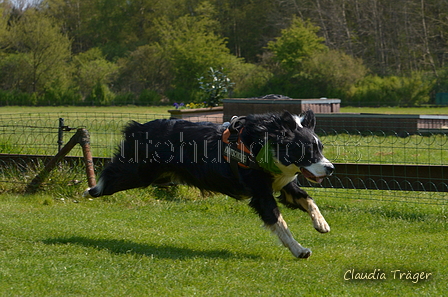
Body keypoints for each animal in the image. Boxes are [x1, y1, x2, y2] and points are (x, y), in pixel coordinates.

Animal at [84, 110, 334, 258]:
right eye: (307, 150)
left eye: (321, 148)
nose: (331, 168)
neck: (263, 143)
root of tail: (139, 127)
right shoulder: (261, 192)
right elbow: (279, 221)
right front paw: (299, 249)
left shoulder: (283, 184)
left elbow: (308, 199)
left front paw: (321, 224)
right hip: (140, 171)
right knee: (111, 175)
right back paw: (90, 190)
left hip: (157, 175)